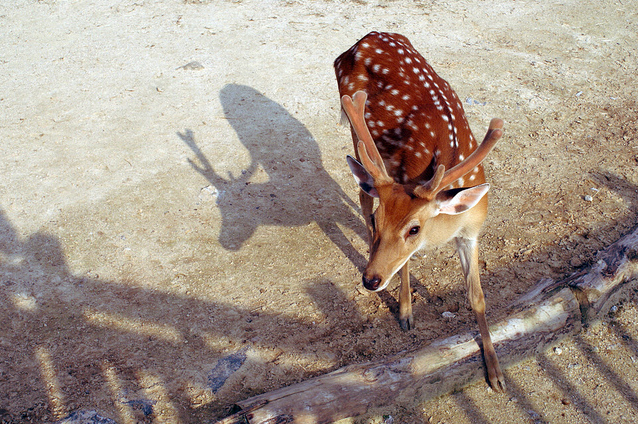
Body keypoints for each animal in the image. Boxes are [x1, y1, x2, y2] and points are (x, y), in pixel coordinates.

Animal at [338, 31, 508, 392]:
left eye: (414, 229)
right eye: (379, 220)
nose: (370, 280)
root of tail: (363, 39)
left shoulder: (472, 230)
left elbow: (477, 295)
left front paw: (496, 372)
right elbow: (404, 262)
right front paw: (405, 313)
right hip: (356, 127)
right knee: (361, 191)